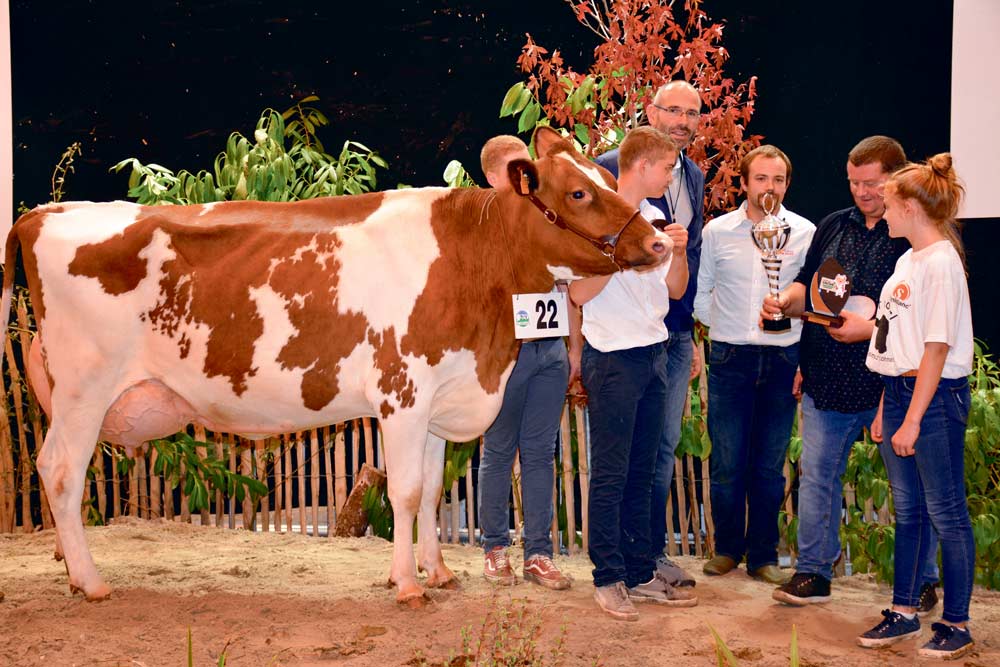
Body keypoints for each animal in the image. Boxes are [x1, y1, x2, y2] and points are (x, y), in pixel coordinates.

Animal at [1, 126, 670, 605]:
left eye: (604, 177)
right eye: (579, 192)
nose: (661, 242)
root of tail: (43, 214)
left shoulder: (439, 396)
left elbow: (432, 491)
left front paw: (438, 573)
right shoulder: (402, 393)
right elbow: (403, 491)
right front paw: (407, 586)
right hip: (84, 390)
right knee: (60, 471)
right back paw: (90, 582)